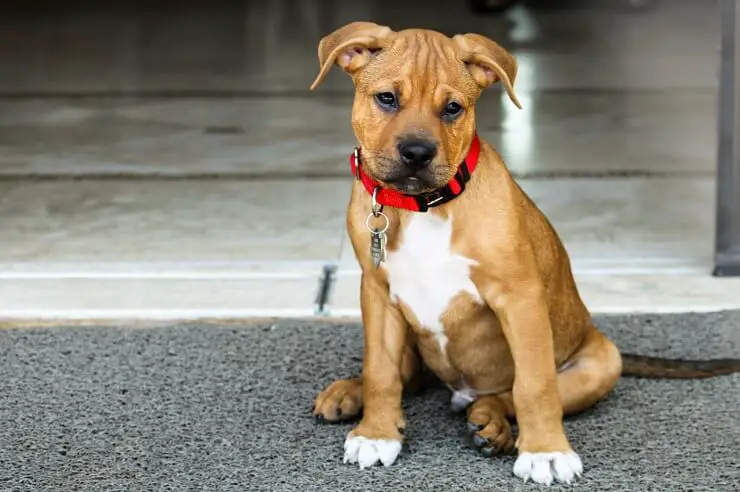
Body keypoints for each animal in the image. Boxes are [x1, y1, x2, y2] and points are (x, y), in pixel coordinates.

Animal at [308, 22, 740, 484]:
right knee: (410, 373)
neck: (423, 206)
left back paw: (491, 424)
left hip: (601, 362)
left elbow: (534, 385)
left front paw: (545, 451)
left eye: (453, 109)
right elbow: (381, 371)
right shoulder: (378, 292)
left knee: (508, 395)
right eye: (387, 98)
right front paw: (376, 433)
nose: (418, 153)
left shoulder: (520, 298)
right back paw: (348, 392)